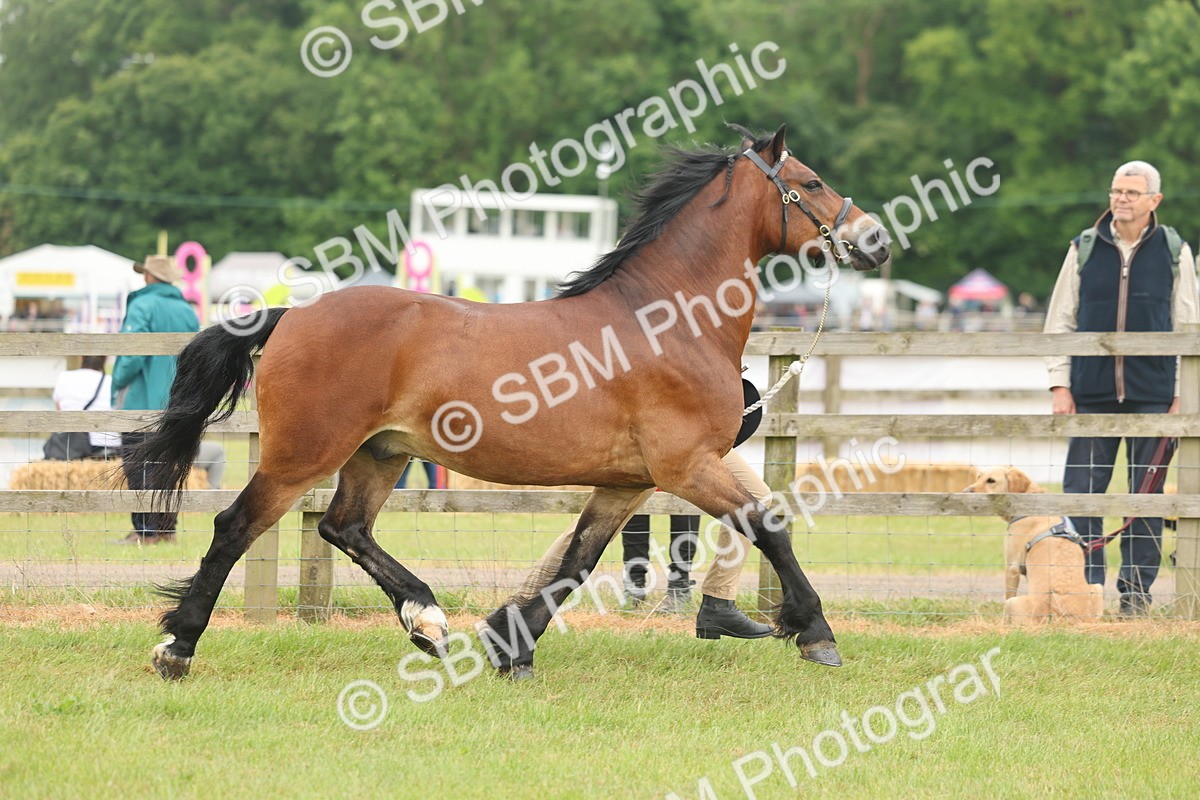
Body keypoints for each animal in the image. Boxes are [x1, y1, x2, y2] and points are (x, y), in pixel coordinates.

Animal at [133, 124, 891, 681]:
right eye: (811, 183)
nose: (875, 237)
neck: (667, 320)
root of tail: (291, 315)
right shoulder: (687, 467)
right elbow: (769, 525)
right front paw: (815, 632)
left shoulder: (628, 483)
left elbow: (577, 561)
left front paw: (511, 646)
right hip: (302, 456)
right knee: (236, 526)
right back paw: (178, 648)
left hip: (379, 454)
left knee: (345, 528)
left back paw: (428, 621)